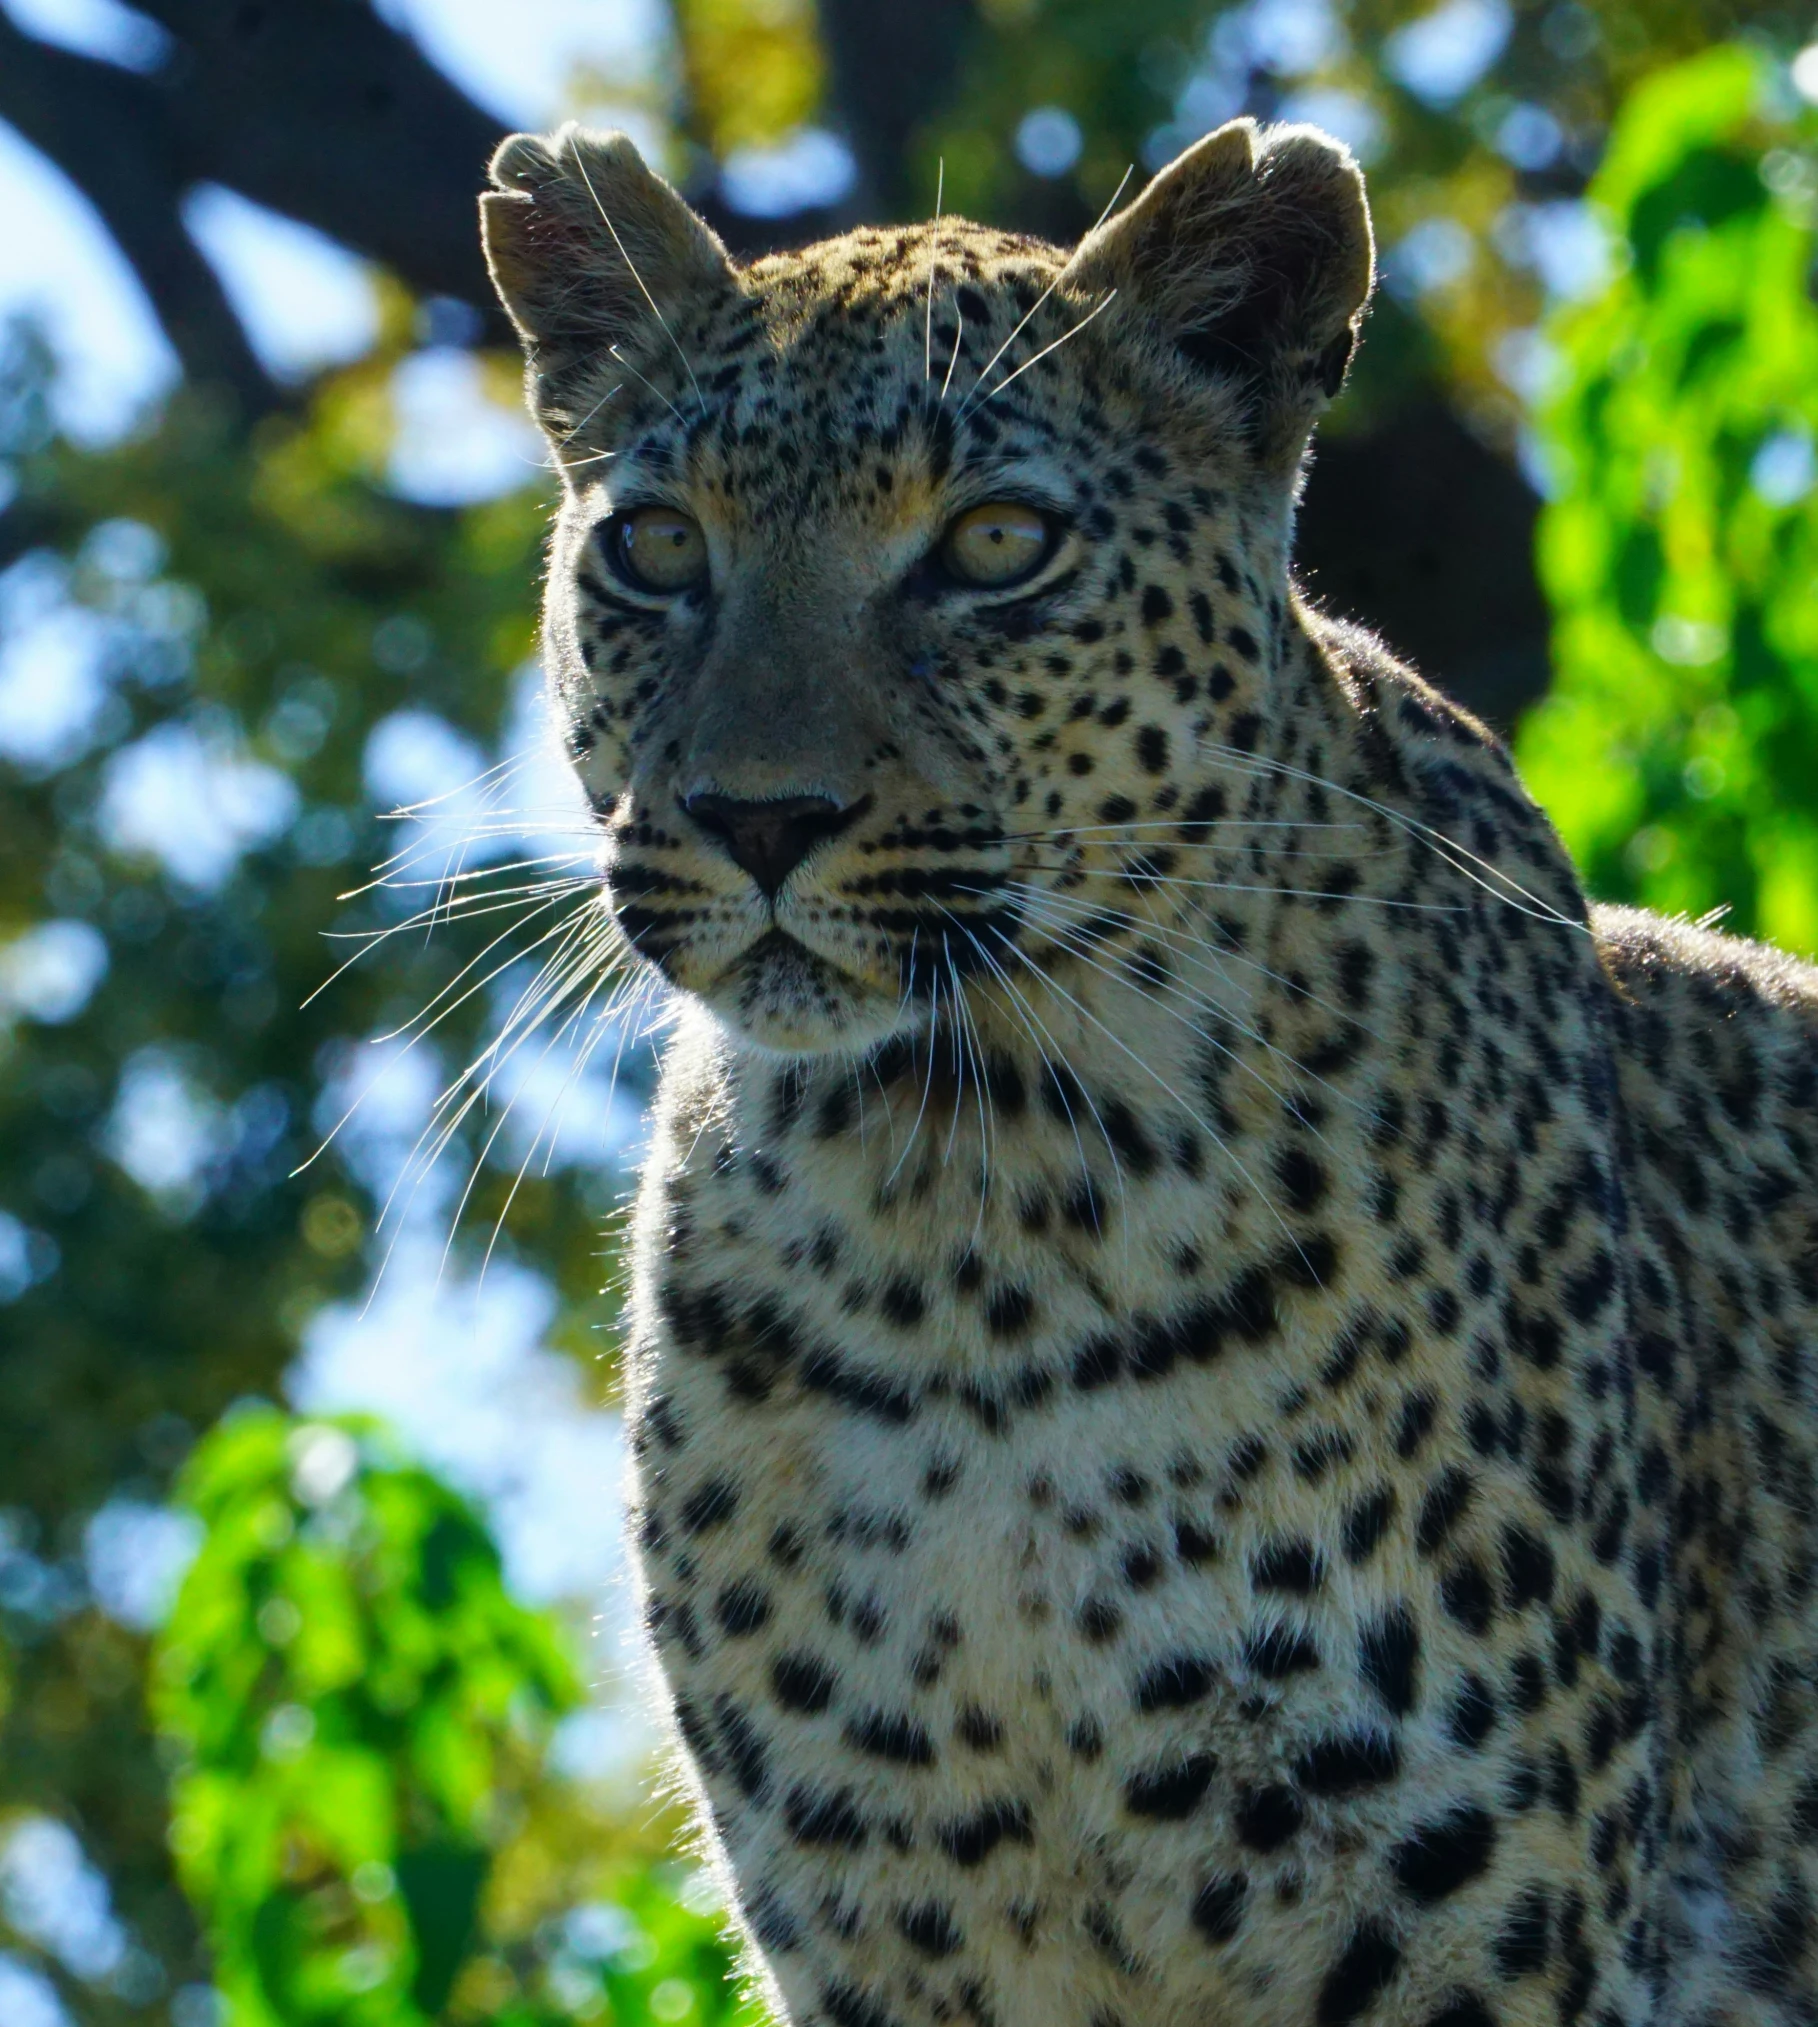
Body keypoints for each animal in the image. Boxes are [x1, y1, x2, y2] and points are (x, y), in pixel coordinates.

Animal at [478, 115, 1815, 2027]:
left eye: (995, 544)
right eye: (656, 547)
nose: (758, 817)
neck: (966, 1219)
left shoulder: (1472, 1933)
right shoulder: (877, 1936)